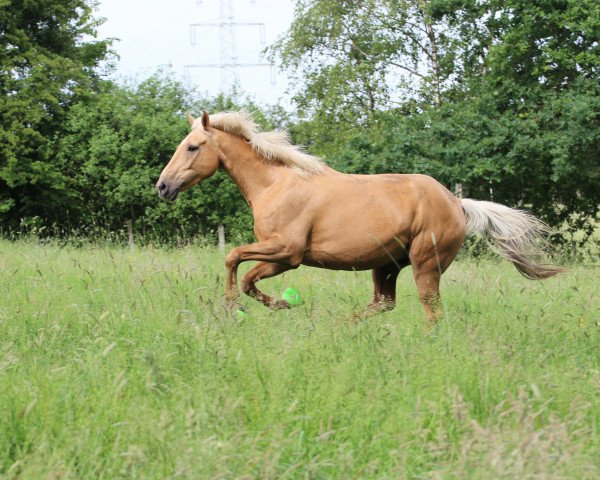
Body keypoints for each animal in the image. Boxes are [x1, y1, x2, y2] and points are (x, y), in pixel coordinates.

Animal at [156, 110, 564, 326]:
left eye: (193, 147)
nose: (162, 186)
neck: (276, 184)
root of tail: (457, 202)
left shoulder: (287, 252)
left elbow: (235, 260)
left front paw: (238, 308)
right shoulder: (281, 257)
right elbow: (244, 274)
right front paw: (281, 306)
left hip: (425, 264)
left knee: (431, 309)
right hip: (386, 265)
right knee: (384, 303)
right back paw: (342, 325)